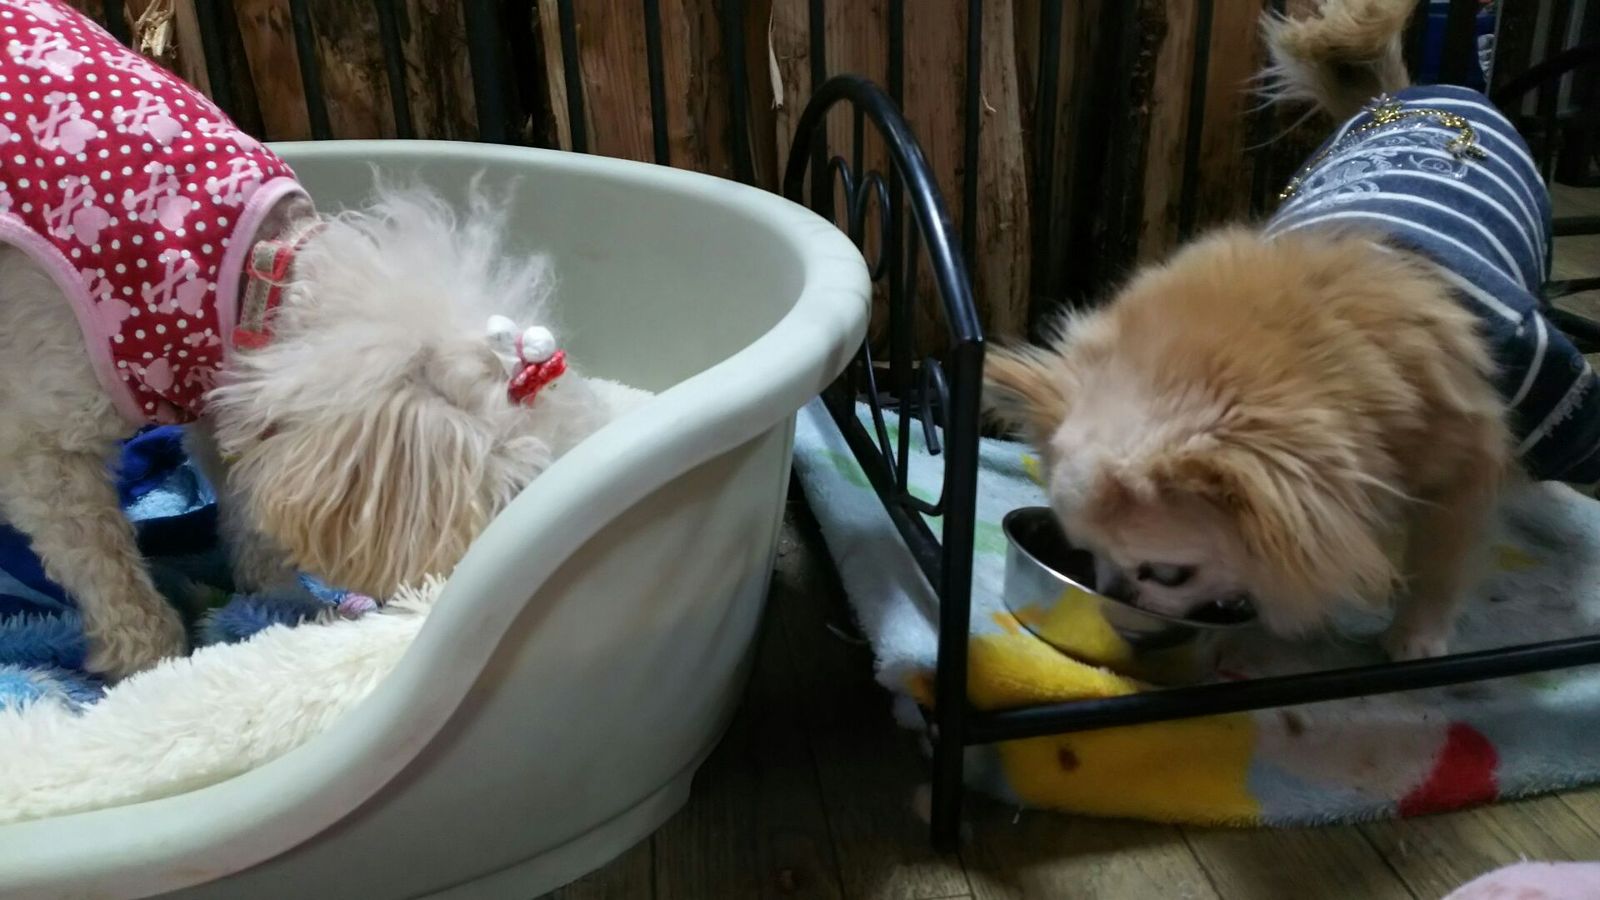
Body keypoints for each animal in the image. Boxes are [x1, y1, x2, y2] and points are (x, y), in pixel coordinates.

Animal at [0, 0, 617, 678]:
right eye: (511, 496)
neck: (260, 270)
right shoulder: (44, 444)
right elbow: (104, 563)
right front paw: (148, 660)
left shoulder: (226, 394)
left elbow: (246, 508)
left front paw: (275, 609)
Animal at [983, 0, 1594, 660]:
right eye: (1086, 556)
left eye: (1168, 574)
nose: (1121, 618)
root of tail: (1413, 92)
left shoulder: (1479, 449)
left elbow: (1443, 555)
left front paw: (1415, 636)